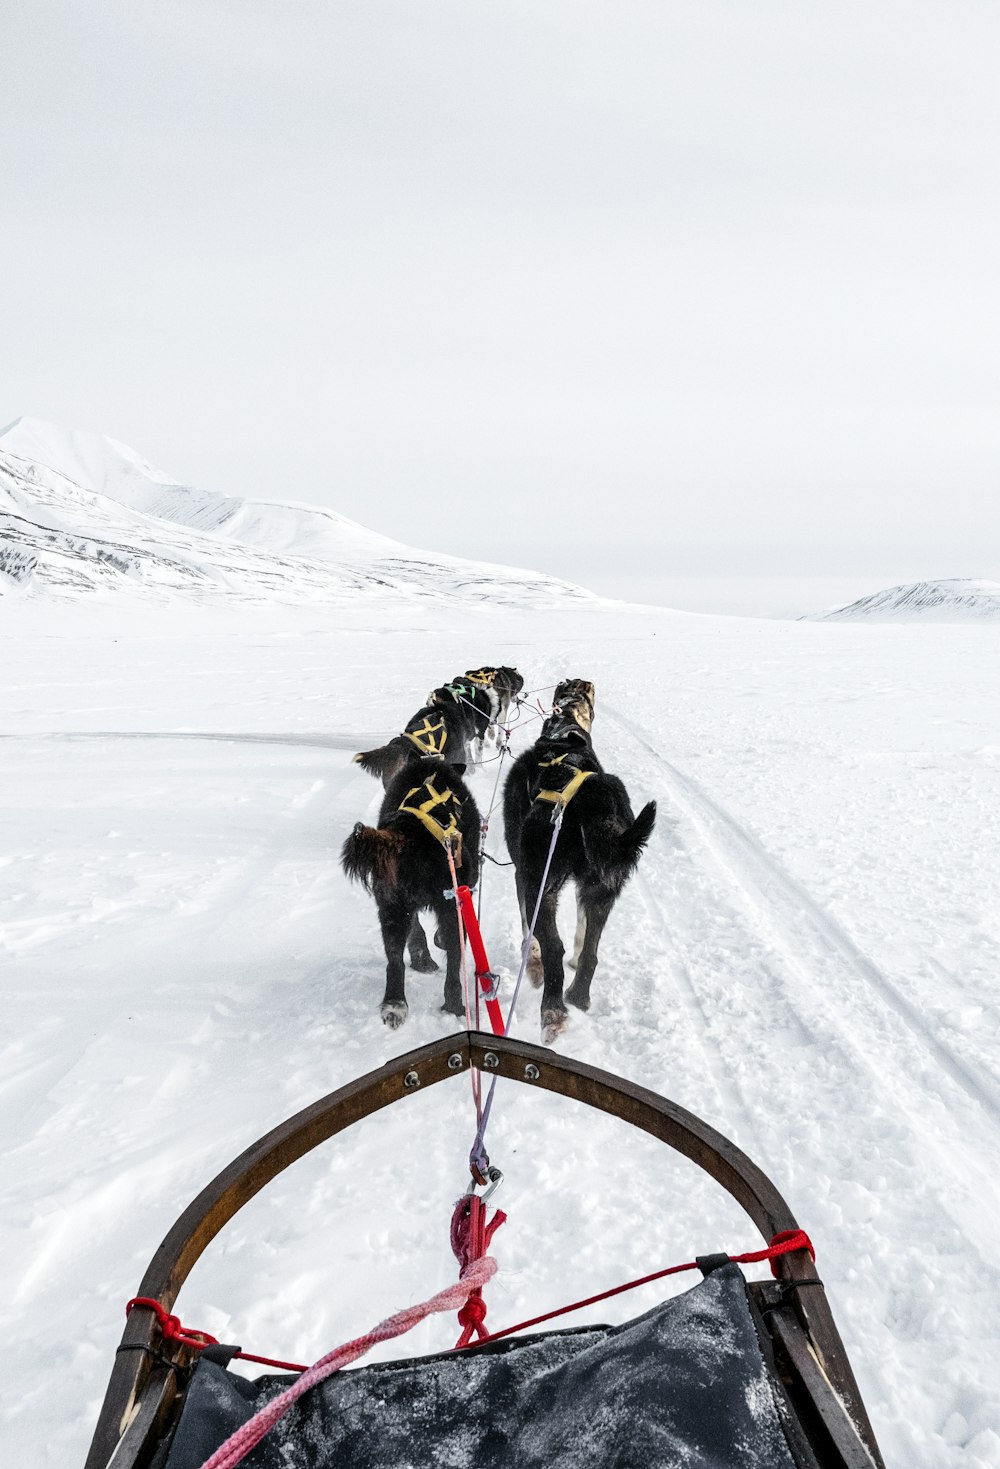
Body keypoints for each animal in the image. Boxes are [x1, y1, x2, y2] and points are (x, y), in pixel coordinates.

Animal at [343, 758, 478, 1022]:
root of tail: (408, 833)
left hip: (391, 907)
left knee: (395, 961)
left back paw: (395, 1004)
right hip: (451, 906)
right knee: (454, 962)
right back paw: (455, 1005)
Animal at [499, 678, 654, 1045]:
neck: (564, 731)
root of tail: (590, 798)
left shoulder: (522, 875)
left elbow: (530, 935)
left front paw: (532, 965)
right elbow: (583, 935)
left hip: (539, 882)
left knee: (553, 948)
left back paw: (552, 1012)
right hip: (603, 886)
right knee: (590, 955)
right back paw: (578, 996)